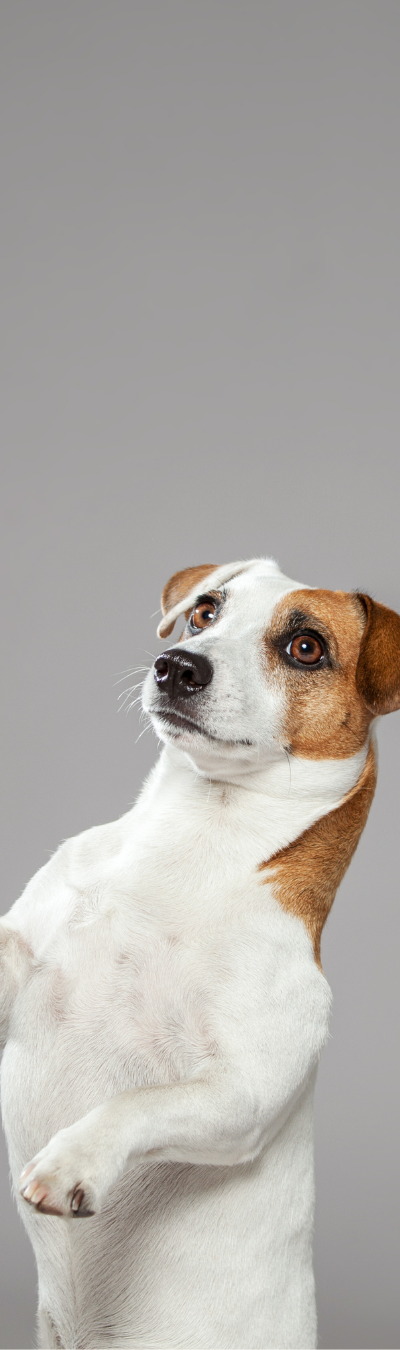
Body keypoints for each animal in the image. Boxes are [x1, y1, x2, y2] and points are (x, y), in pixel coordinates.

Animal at [1, 557, 399, 1350]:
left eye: (305, 647)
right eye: (206, 612)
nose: (177, 665)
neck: (189, 849)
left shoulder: (240, 1093)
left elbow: (139, 1102)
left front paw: (72, 1160)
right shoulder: (19, 958)